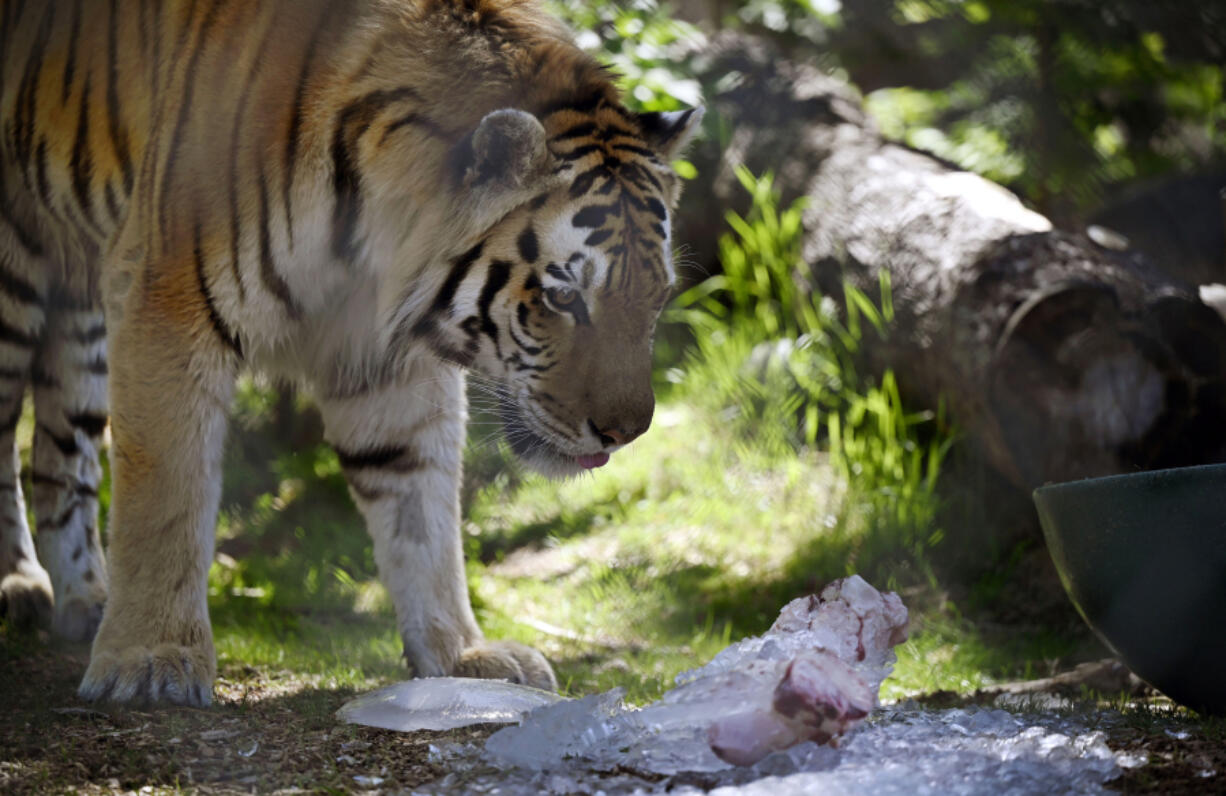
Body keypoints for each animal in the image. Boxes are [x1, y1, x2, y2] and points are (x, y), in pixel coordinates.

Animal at [0, 0, 701, 706]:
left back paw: (85, 601)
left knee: (60, 454)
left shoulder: (379, 354)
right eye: (563, 296)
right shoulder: (166, 299)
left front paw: (460, 655)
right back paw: (21, 588)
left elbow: (420, 503)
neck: (367, 231)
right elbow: (166, 495)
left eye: (658, 297)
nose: (627, 431)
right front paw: (150, 660)